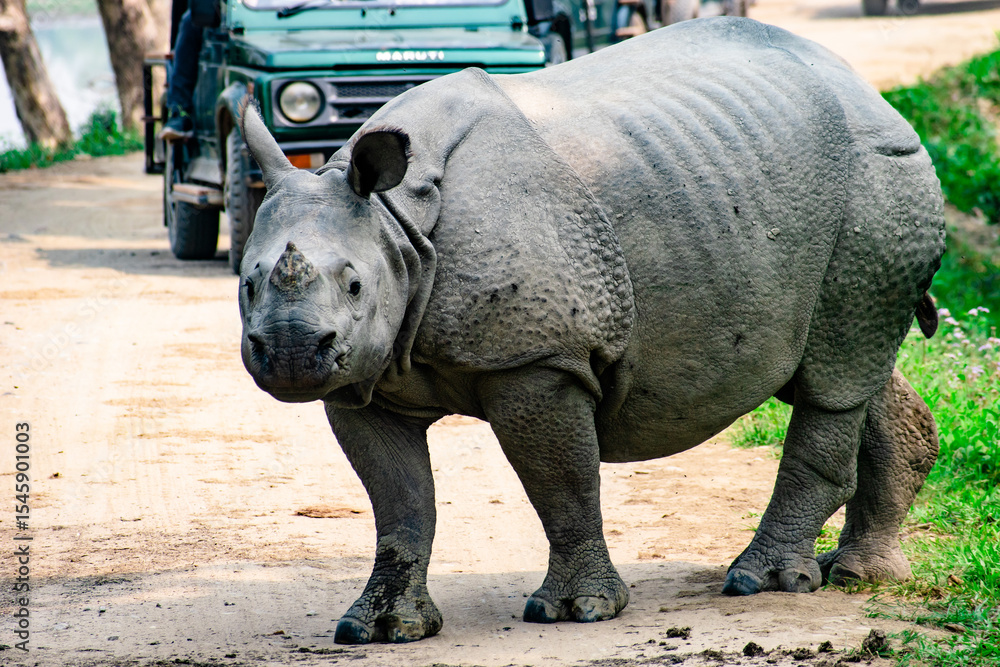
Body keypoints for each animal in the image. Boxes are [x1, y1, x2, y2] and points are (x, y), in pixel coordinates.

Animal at [236, 17, 944, 644]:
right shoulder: (363, 379)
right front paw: (379, 628)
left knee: (837, 367)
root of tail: (868, 90)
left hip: (878, 180)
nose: (292, 353)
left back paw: (763, 582)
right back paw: (859, 573)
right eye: (246, 283)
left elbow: (561, 481)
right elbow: (400, 501)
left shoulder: (540, 359)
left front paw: (578, 612)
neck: (394, 219)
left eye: (355, 285)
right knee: (841, 364)